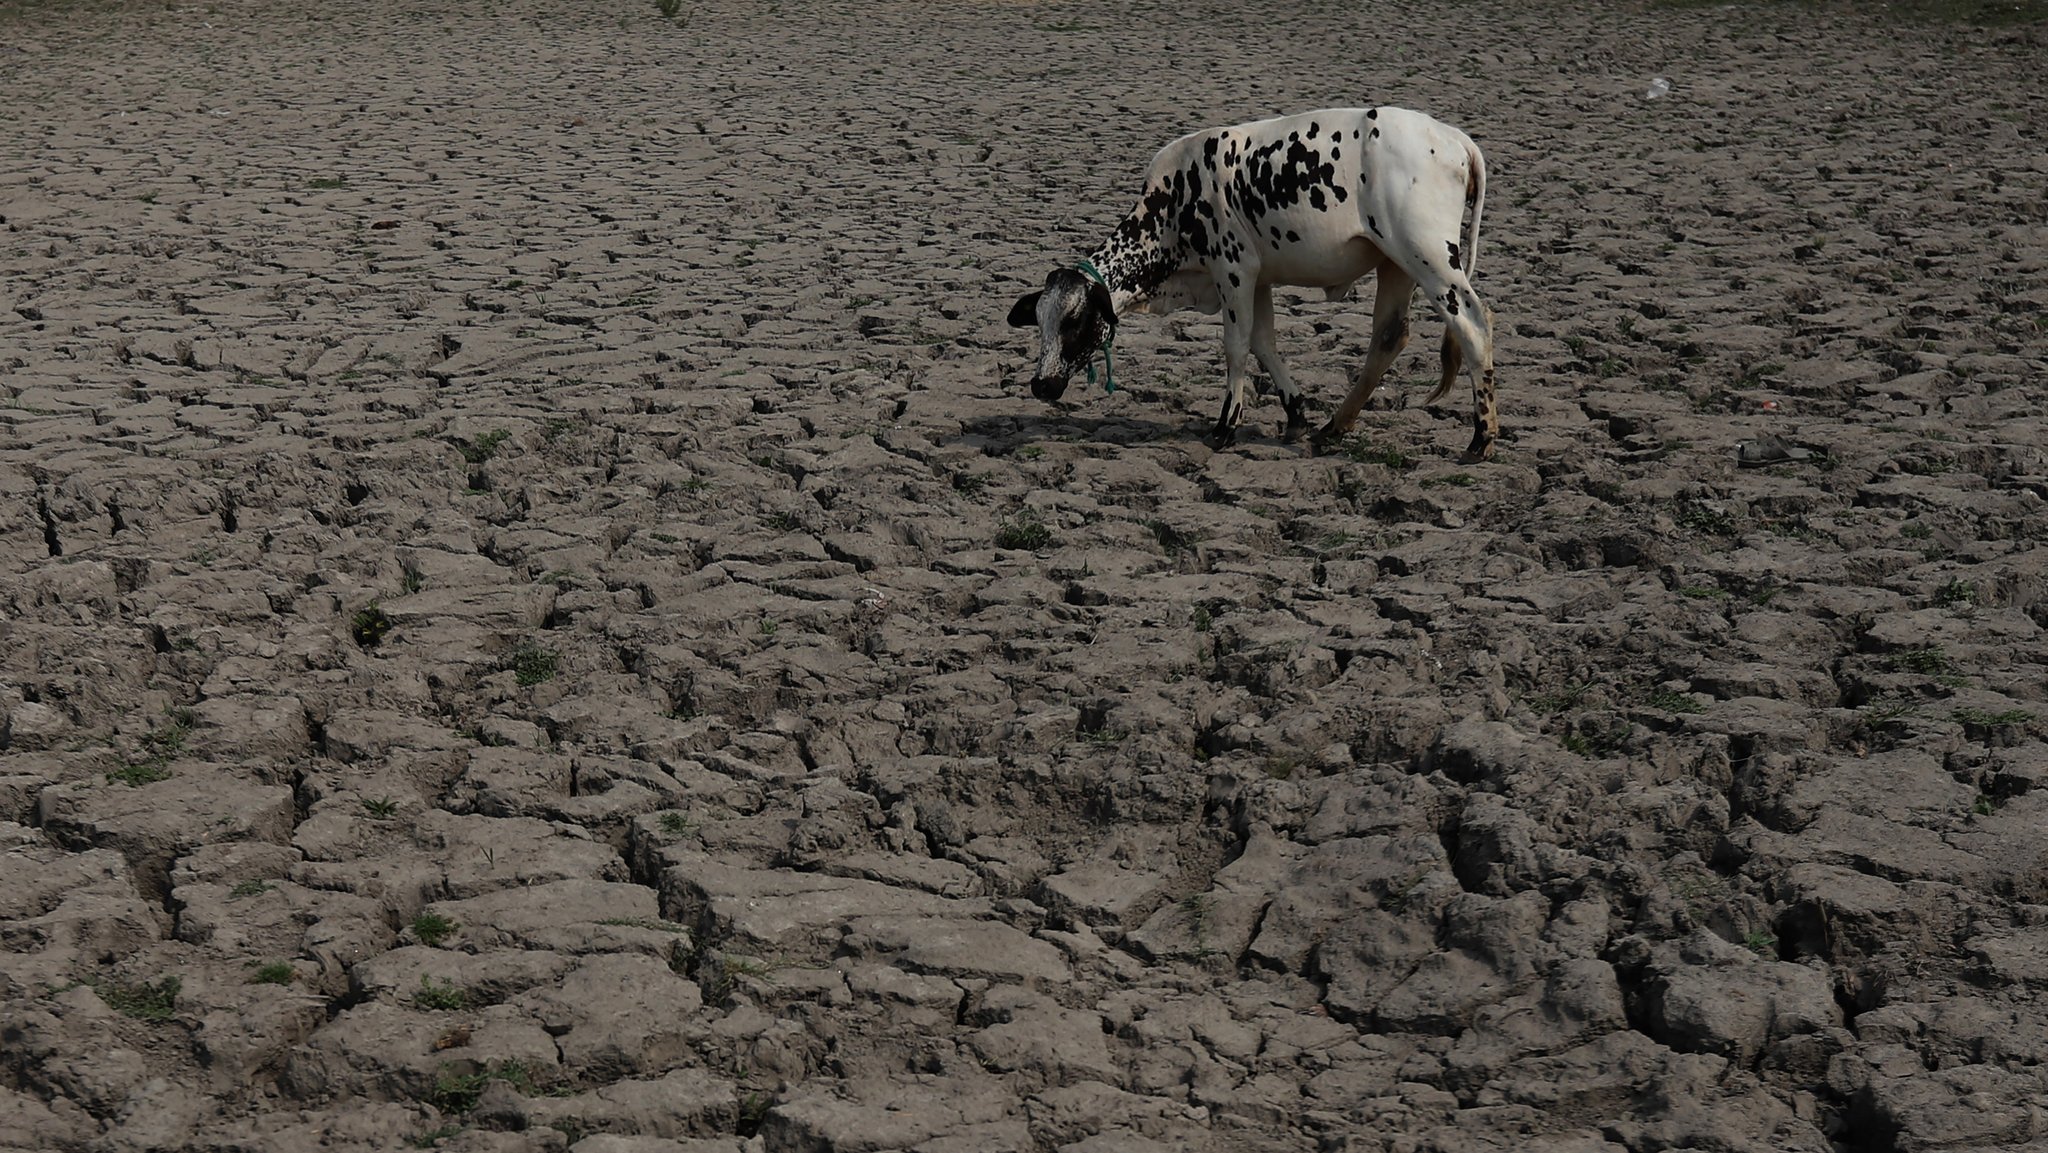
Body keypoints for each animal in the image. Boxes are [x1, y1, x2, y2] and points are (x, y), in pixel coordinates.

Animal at [1011, 103, 1507, 462]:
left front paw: (1225, 426)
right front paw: (1295, 415)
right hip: (1396, 265)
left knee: (1473, 326)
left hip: (1429, 258)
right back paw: (1333, 428)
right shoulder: (1259, 280)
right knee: (1388, 338)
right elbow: (1264, 343)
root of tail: (1456, 138)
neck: (1173, 202)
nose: (1040, 385)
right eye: (1040, 322)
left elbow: (1236, 345)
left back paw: (1480, 439)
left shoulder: (1234, 270)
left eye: (1074, 321)